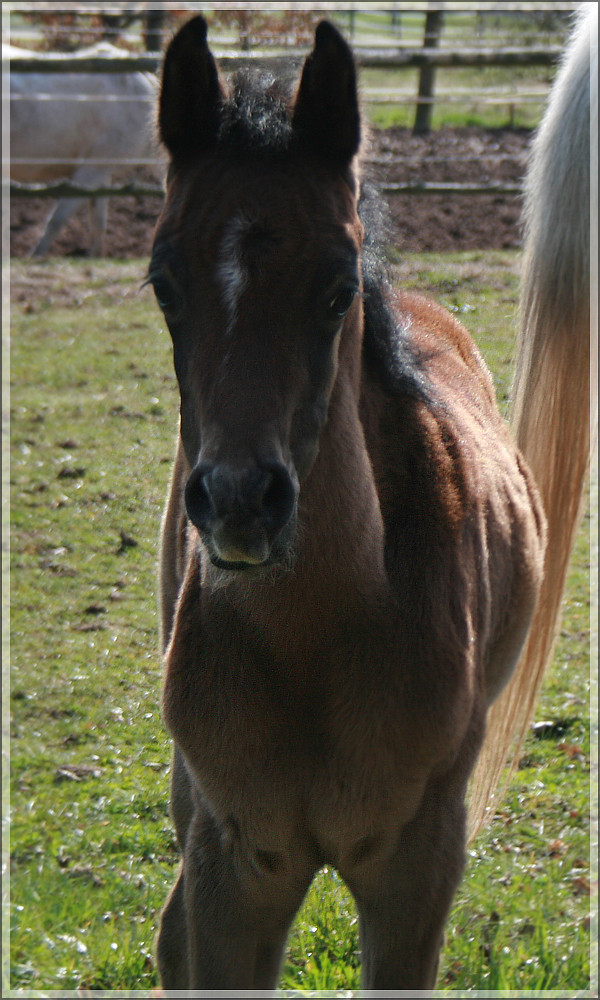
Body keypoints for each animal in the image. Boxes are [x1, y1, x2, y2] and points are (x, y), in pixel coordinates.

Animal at [9, 45, 159, 260]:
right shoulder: (89, 173)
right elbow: (57, 220)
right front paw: (35, 257)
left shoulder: (101, 174)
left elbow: (98, 222)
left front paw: (96, 257)